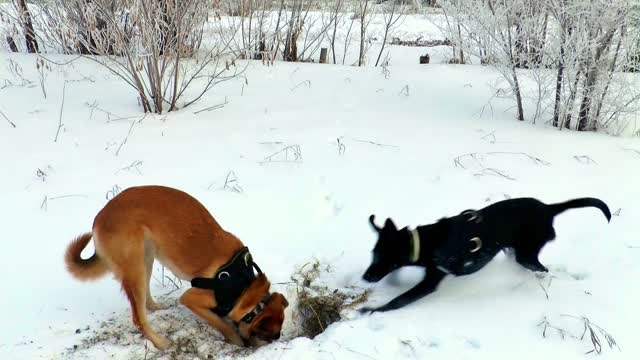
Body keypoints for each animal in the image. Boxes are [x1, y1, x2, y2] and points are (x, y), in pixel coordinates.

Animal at [63, 186, 288, 348]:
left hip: (147, 257)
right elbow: (221, 323)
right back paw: (160, 343)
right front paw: (235, 340)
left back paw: (156, 308)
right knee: (138, 317)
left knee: (144, 301)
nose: (271, 342)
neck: (243, 284)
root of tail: (100, 217)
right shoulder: (192, 298)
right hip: (135, 266)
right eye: (268, 335)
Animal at [360, 197, 608, 312]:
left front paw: (372, 310)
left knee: (541, 270)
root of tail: (548, 208)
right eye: (373, 254)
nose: (365, 277)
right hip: (516, 250)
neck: (427, 242)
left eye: (381, 257)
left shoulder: (430, 282)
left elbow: (398, 300)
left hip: (526, 254)